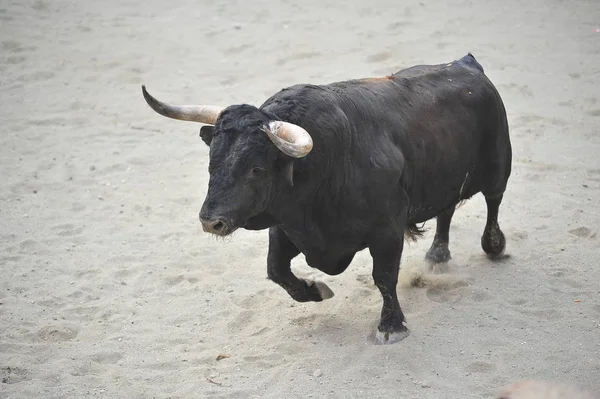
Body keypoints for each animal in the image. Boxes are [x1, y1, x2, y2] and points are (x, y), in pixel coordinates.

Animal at [141, 53, 510, 346]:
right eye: (212, 161)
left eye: (256, 169)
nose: (211, 221)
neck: (327, 163)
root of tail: (465, 64)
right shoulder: (286, 227)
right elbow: (276, 270)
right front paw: (316, 290)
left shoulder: (387, 230)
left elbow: (384, 277)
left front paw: (391, 326)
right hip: (446, 174)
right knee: (446, 210)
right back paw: (437, 255)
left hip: (498, 164)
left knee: (493, 202)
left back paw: (493, 245)